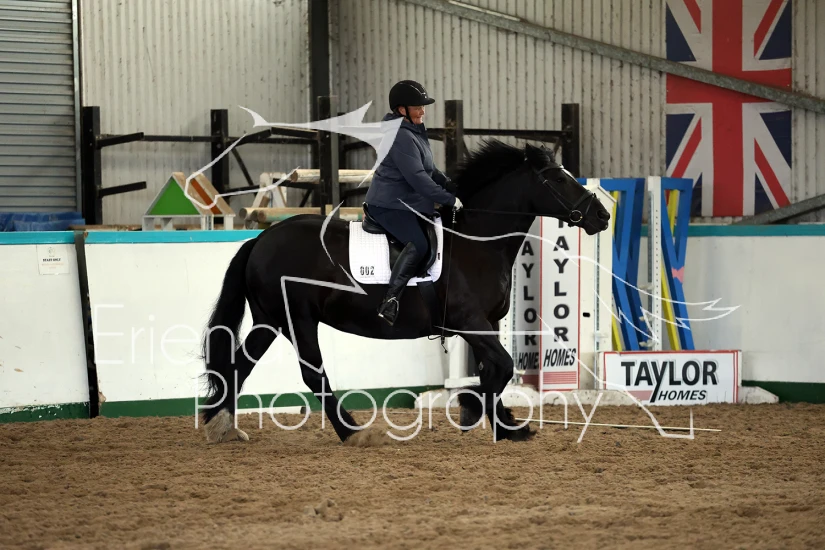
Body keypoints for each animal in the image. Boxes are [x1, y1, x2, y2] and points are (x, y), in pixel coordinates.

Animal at [200, 140, 611, 444]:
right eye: (558, 179)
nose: (602, 216)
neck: (477, 240)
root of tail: (261, 239)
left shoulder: (486, 324)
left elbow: (495, 370)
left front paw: (505, 425)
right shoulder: (470, 322)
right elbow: (502, 368)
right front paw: (475, 410)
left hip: (269, 321)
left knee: (239, 366)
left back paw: (222, 426)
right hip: (298, 319)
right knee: (313, 376)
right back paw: (352, 432)